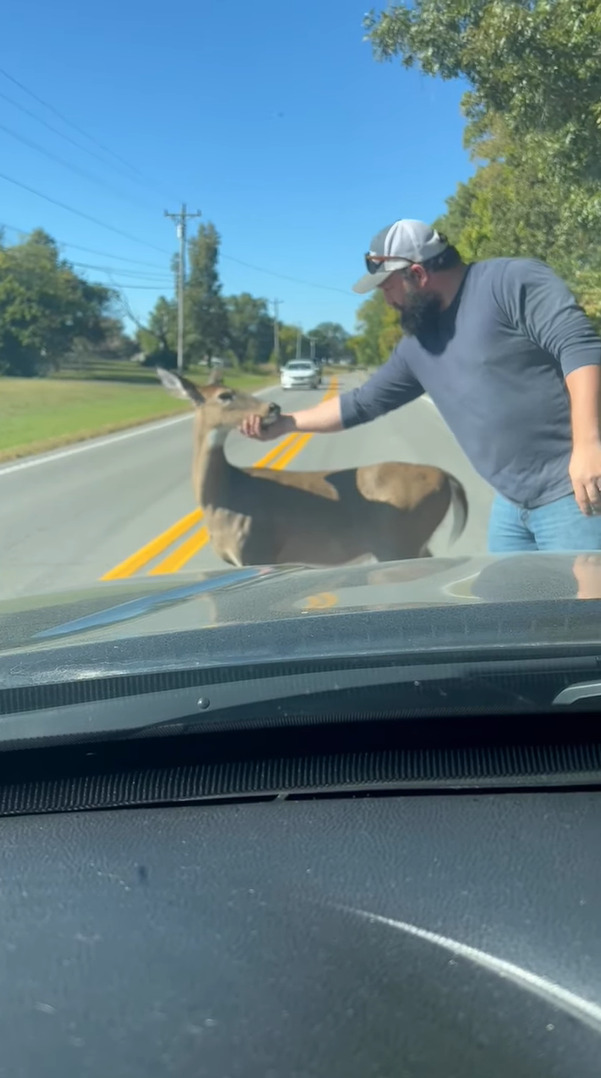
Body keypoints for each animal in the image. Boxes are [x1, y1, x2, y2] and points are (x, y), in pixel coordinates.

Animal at [156, 366, 471, 569]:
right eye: (224, 395)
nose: (272, 407)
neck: (224, 497)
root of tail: (446, 476)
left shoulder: (257, 549)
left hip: (398, 539)